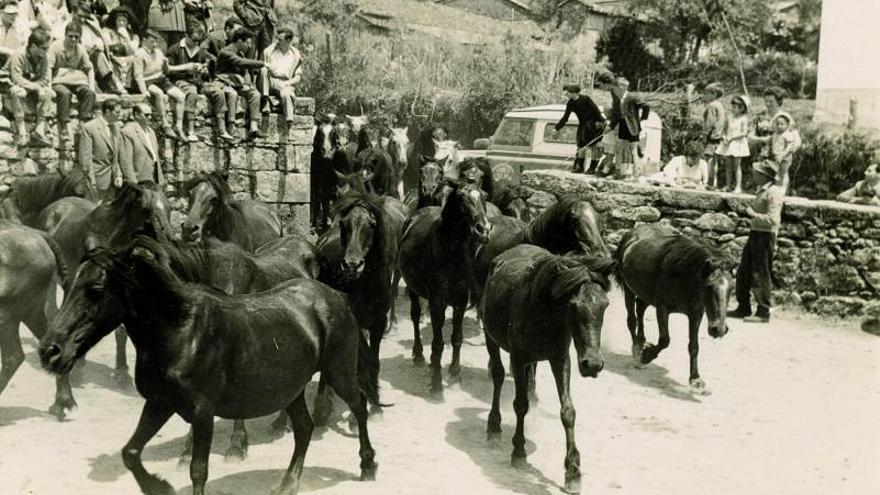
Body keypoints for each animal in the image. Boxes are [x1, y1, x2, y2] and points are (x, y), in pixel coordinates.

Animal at [41, 239, 380, 495]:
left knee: (359, 405)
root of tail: (336, 296)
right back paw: (287, 485)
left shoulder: (202, 412)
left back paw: (367, 466)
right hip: (291, 389)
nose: (50, 352)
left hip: (339, 373)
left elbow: (198, 470)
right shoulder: (159, 404)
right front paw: (159, 486)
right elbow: (131, 452)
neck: (180, 331)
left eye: (95, 289)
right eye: (67, 285)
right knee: (304, 428)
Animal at [398, 180, 496, 394]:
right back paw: (419, 355)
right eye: (461, 197)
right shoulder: (438, 303)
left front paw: (455, 373)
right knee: (416, 317)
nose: (483, 230)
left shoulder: (460, 301)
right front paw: (436, 381)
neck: (452, 255)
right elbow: (438, 343)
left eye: (484, 195)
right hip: (413, 289)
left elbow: (456, 338)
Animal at [482, 245, 612, 495]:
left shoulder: (560, 359)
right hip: (491, 339)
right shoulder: (518, 358)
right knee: (498, 375)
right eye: (573, 306)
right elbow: (519, 405)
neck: (543, 313)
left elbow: (568, 412)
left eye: (605, 305)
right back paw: (493, 425)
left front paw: (573, 471)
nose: (592, 364)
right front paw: (518, 451)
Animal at [616, 225, 732, 396]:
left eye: (731, 288)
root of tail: (631, 234)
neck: (682, 274)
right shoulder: (662, 309)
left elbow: (694, 346)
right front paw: (646, 356)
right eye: (709, 287)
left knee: (640, 309)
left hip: (645, 293)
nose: (719, 329)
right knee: (632, 320)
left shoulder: (696, 314)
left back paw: (642, 341)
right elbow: (665, 340)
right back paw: (637, 351)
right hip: (629, 289)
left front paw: (695, 379)